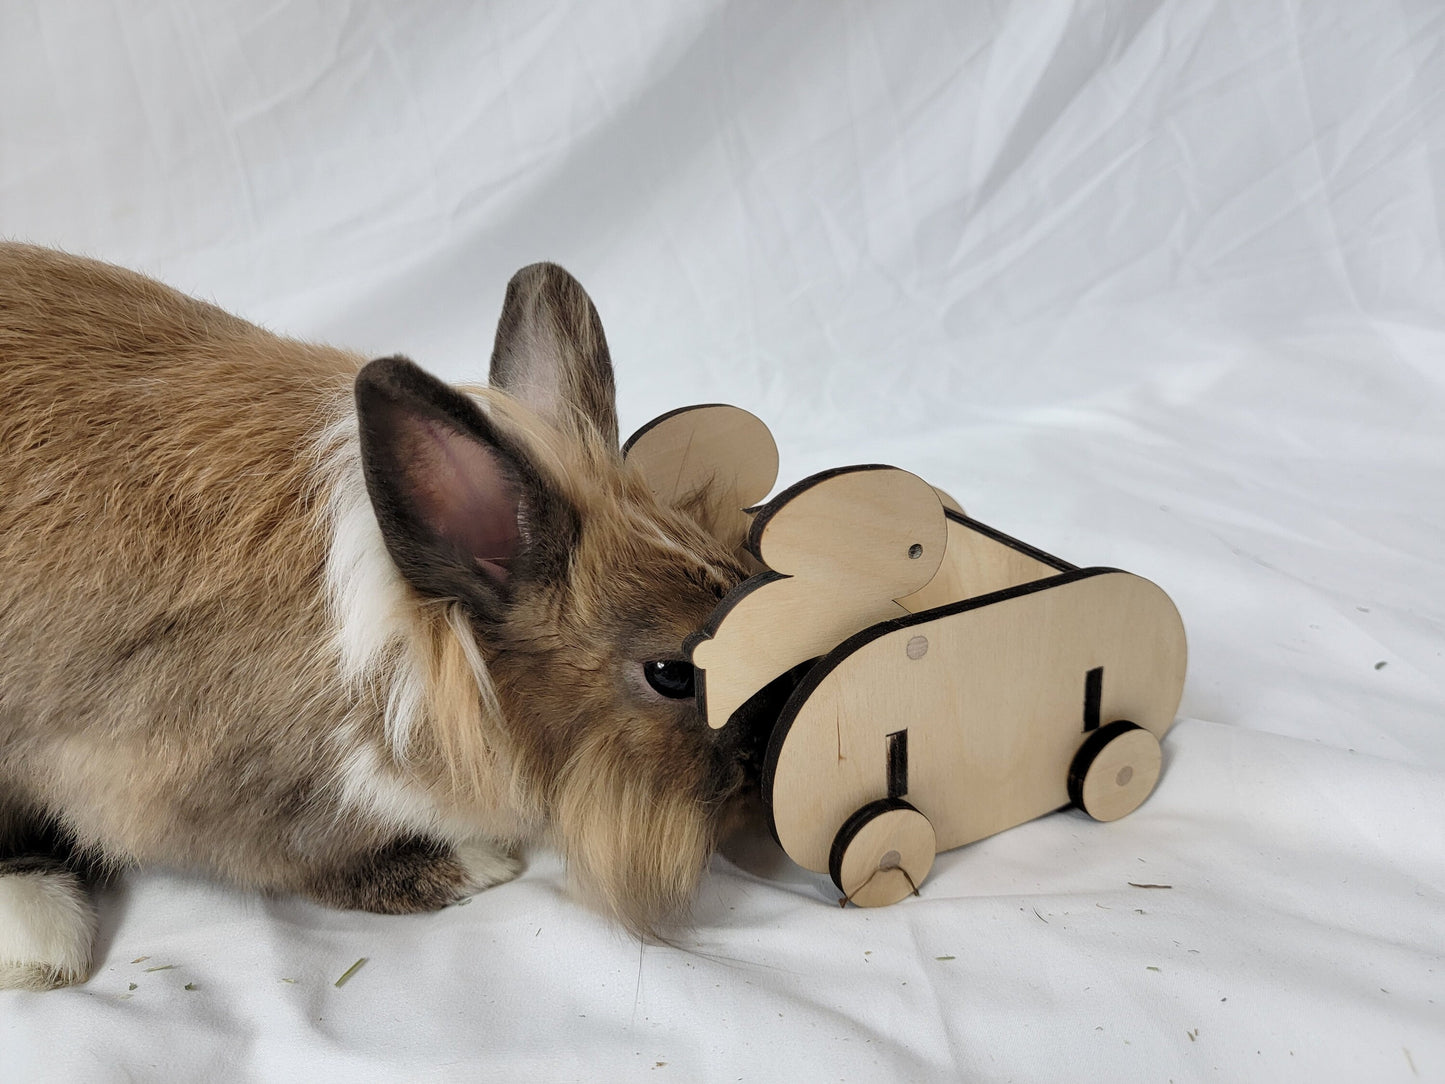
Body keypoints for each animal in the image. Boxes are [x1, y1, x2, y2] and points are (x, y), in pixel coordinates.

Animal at [0, 248, 745, 994]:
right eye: (670, 674)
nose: (747, 780)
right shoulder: (202, 792)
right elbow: (314, 863)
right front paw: (474, 865)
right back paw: (40, 940)